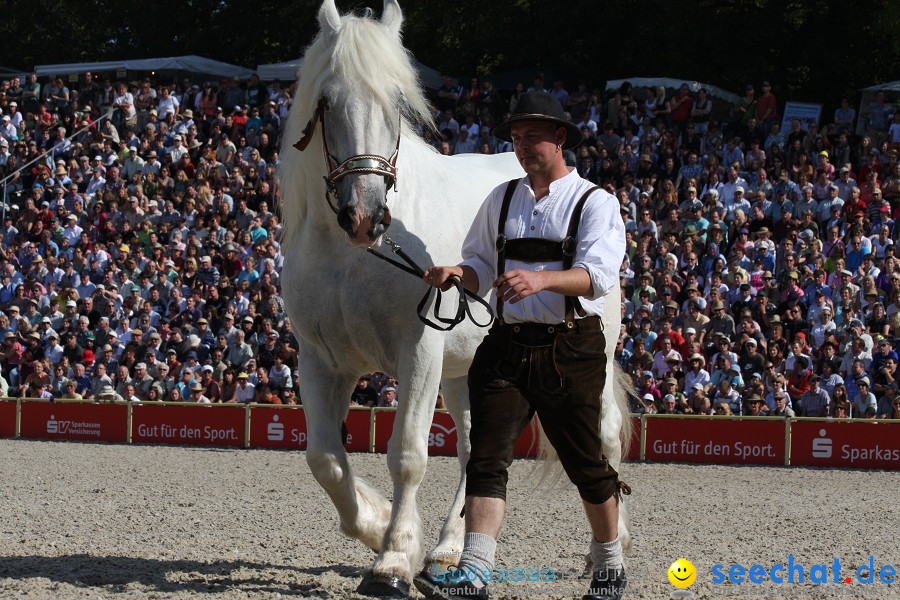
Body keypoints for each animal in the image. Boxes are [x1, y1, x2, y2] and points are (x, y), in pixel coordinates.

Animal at [282, 0, 632, 592]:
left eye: (399, 103)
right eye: (326, 101)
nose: (366, 217)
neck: (353, 257)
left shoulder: (418, 352)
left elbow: (407, 454)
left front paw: (393, 558)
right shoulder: (321, 360)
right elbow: (324, 458)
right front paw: (376, 525)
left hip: (594, 361)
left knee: (601, 440)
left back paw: (608, 550)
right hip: (467, 371)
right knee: (475, 449)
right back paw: (448, 550)